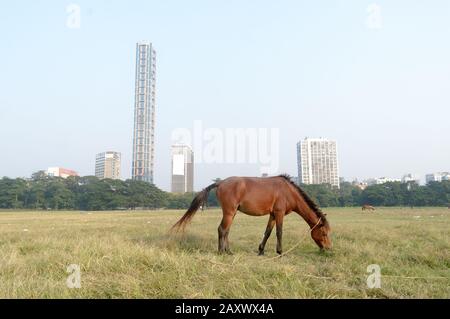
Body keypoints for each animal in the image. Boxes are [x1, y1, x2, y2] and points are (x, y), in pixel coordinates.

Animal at [171, 175, 332, 255]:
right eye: (324, 233)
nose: (328, 249)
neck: (288, 192)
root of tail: (221, 183)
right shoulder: (279, 213)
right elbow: (279, 232)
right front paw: (280, 252)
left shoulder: (272, 214)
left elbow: (267, 232)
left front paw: (261, 251)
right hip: (229, 212)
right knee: (222, 229)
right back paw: (221, 252)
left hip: (232, 213)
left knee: (226, 231)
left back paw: (229, 251)